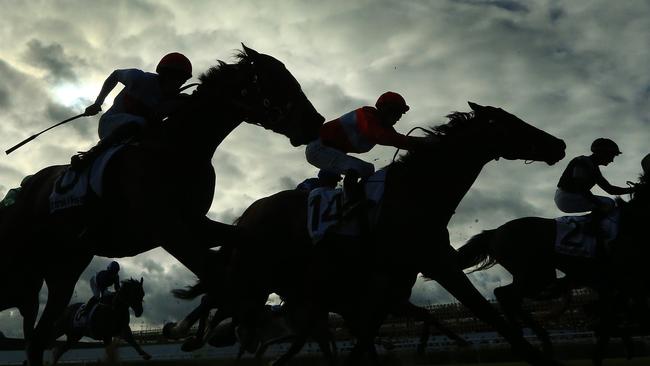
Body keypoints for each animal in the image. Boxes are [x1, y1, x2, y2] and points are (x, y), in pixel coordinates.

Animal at [0, 45, 324, 366]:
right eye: (279, 81)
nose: (317, 122)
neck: (181, 149)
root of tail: (25, 186)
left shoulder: (196, 223)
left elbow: (239, 246)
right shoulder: (168, 230)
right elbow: (214, 272)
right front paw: (205, 330)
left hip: (64, 267)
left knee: (38, 338)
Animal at [175, 101, 564, 364]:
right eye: (512, 123)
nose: (558, 144)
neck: (416, 193)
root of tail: (248, 213)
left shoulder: (405, 277)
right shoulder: (423, 270)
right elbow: (488, 314)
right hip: (258, 273)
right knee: (225, 301)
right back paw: (195, 335)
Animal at [456, 174, 648, 364]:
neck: (631, 223)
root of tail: (494, 232)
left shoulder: (615, 285)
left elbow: (612, 316)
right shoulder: (618, 282)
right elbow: (611, 320)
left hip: (540, 276)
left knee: (507, 296)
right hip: (536, 275)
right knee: (505, 295)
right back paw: (531, 339)